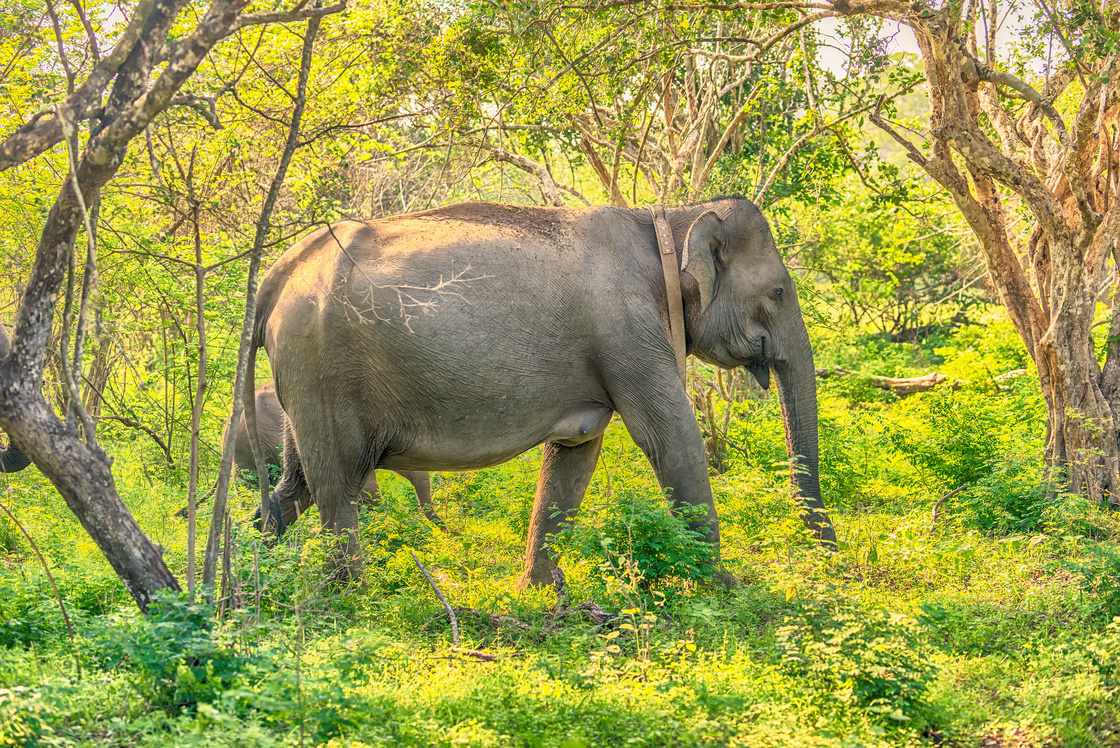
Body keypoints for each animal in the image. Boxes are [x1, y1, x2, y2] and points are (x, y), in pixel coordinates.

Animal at [249, 197, 837, 582]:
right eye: (778, 292)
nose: (831, 556)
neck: (667, 216)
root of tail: (280, 271)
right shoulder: (627, 328)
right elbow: (672, 440)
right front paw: (726, 592)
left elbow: (576, 453)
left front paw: (542, 595)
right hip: (321, 369)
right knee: (336, 485)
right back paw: (349, 596)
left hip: (303, 382)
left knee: (297, 484)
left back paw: (252, 586)